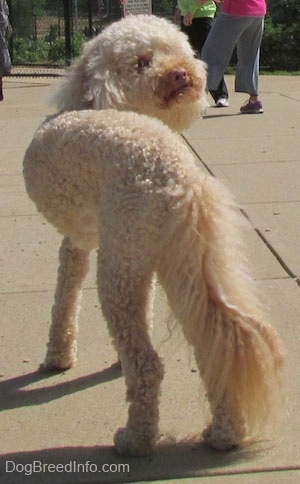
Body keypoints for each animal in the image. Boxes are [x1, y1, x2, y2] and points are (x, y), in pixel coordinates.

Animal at [23, 108, 284, 456]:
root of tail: (178, 179)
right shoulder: (133, 259)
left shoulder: (82, 241)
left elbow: (66, 293)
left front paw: (58, 356)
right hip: (178, 263)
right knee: (216, 346)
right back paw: (225, 434)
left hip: (118, 274)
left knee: (148, 366)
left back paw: (136, 439)